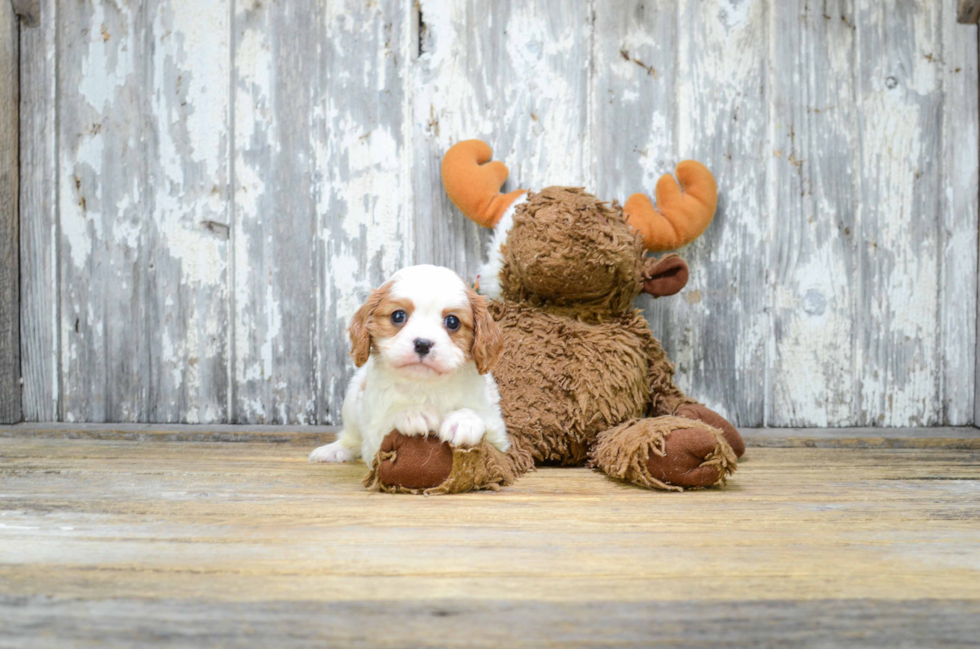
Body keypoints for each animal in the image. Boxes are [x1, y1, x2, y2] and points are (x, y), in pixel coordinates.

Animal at [306, 264, 510, 466]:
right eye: (398, 316)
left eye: (453, 322)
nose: (423, 343)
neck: (426, 385)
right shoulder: (373, 439)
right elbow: (387, 421)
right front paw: (413, 412)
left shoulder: (500, 440)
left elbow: (487, 419)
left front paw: (464, 420)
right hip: (352, 397)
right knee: (351, 436)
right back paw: (336, 449)